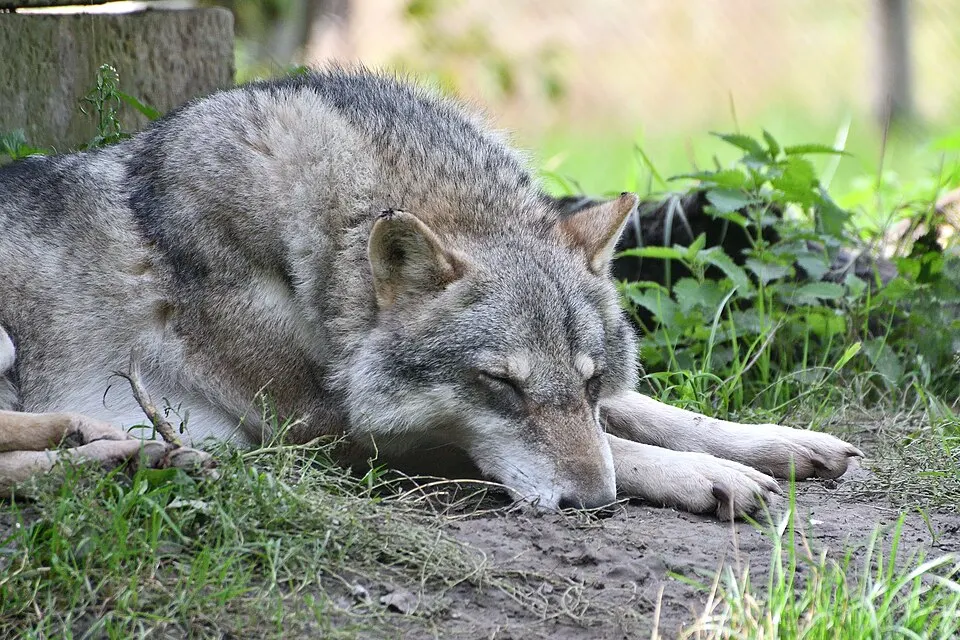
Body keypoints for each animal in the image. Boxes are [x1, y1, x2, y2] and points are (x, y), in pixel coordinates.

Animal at [0, 70, 862, 518]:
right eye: (500, 385)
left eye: (587, 382)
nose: (591, 505)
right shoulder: (334, 434)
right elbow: (620, 446)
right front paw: (712, 477)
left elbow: (649, 414)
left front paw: (781, 443)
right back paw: (120, 447)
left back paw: (131, 451)